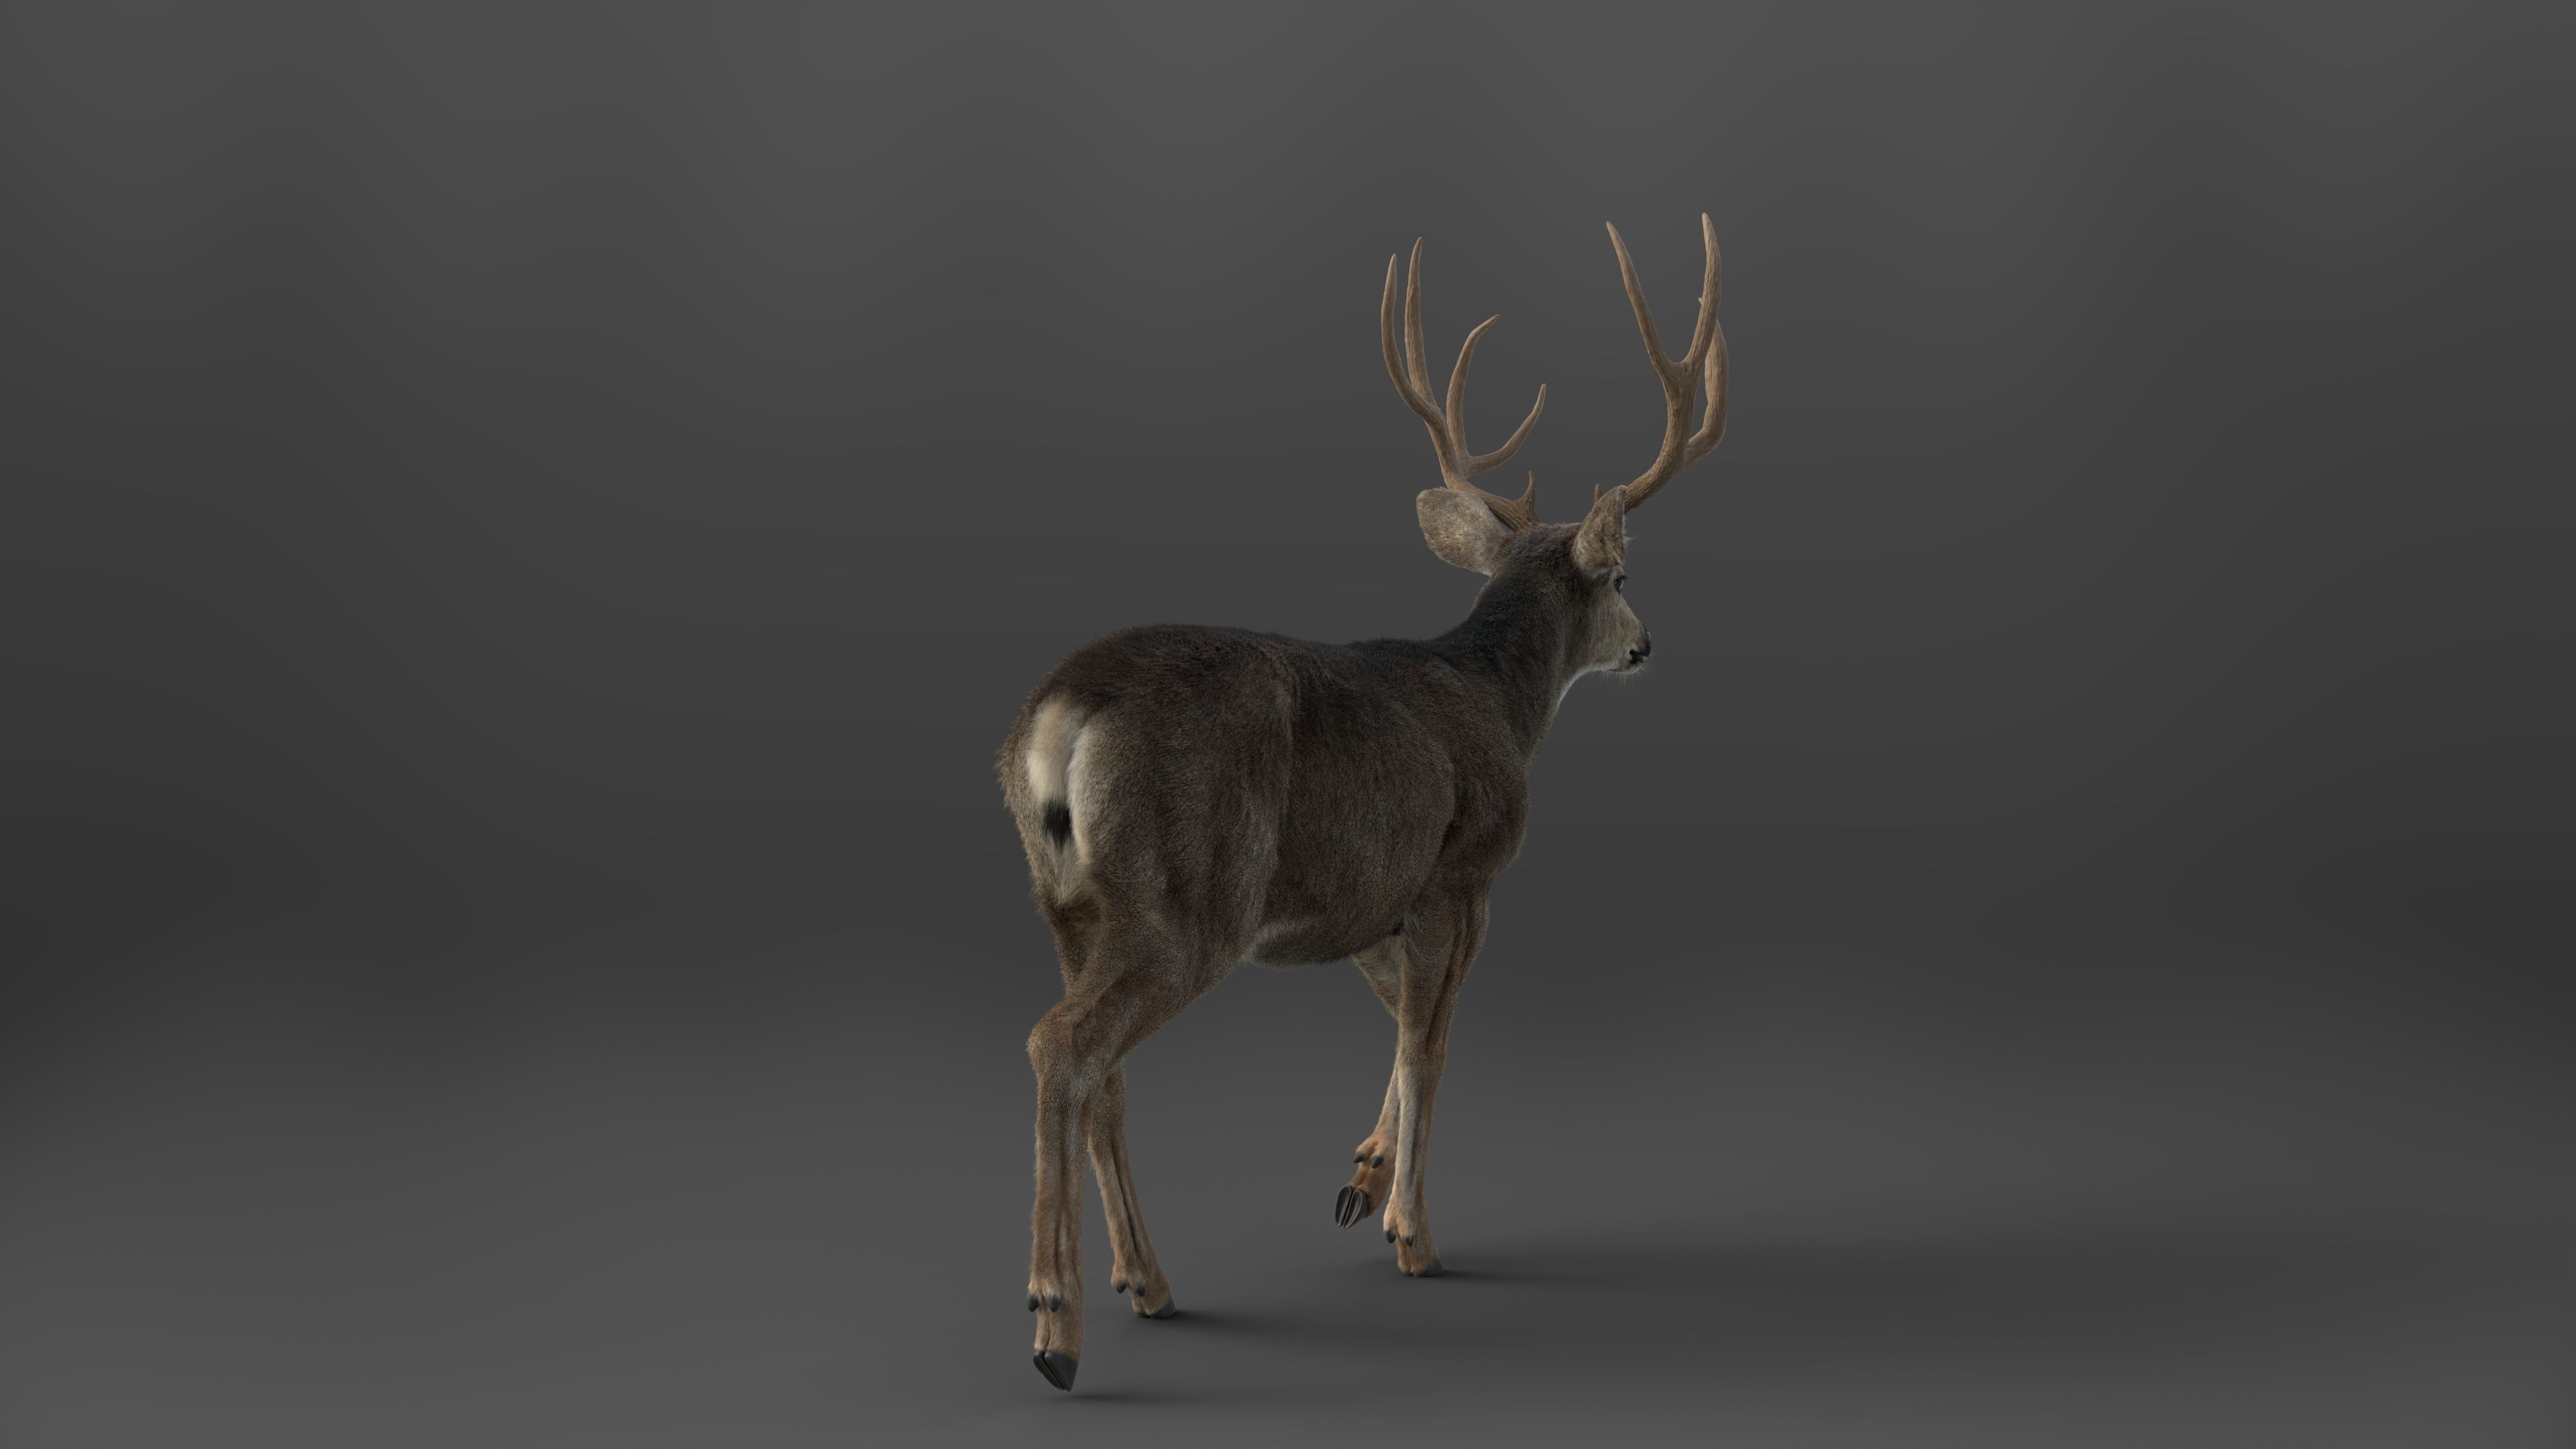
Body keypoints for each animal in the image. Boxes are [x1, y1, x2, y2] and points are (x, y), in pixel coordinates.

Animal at [997, 216, 1728, 1391]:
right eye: (1621, 578)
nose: (1648, 642)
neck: (1500, 698)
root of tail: (1062, 717)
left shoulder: (1367, 900)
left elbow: (1398, 1025)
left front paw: (1363, 1176)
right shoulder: (1463, 871)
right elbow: (1431, 1045)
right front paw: (1412, 1233)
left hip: (1063, 899)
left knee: (1102, 1067)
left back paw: (1145, 1283)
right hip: (1186, 898)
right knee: (1063, 1045)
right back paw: (1057, 1326)